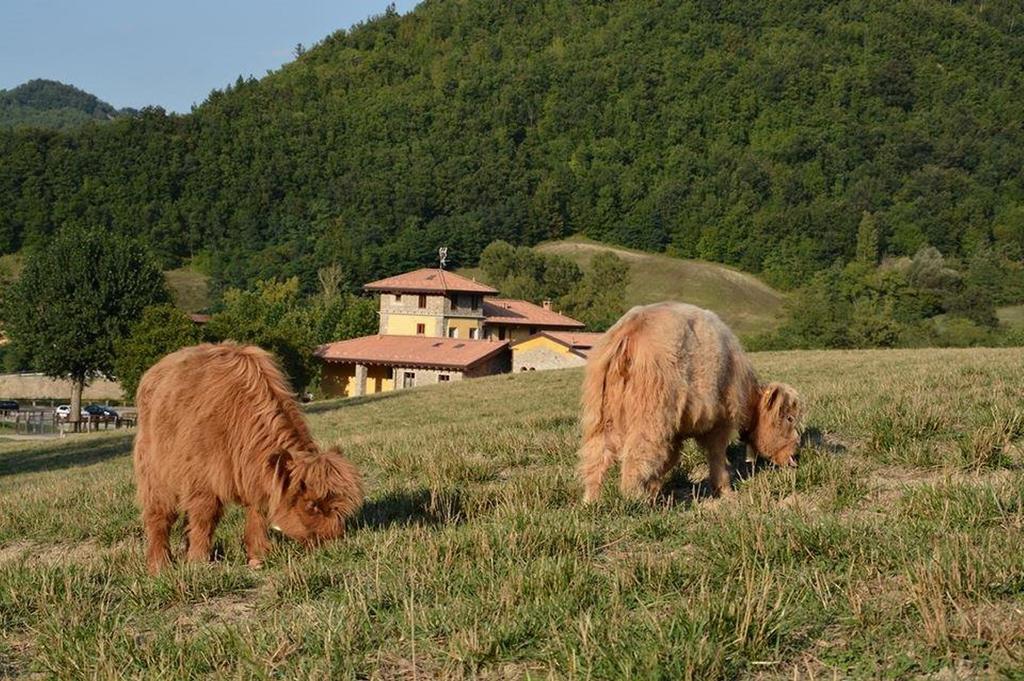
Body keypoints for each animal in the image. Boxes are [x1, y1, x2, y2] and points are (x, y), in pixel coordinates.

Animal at [132, 342, 364, 569]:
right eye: (312, 505)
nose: (334, 544)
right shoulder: (203, 479)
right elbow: (204, 518)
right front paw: (198, 561)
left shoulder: (255, 475)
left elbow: (257, 513)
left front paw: (257, 557)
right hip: (154, 471)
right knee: (159, 515)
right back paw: (159, 564)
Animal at [577, 301, 798, 501]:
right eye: (789, 418)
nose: (795, 454)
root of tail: (631, 328)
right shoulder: (720, 421)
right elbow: (717, 457)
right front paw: (725, 491)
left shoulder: (675, 433)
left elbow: (668, 460)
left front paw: (654, 491)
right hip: (650, 416)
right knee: (635, 456)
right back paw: (633, 499)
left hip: (601, 415)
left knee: (596, 455)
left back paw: (591, 501)